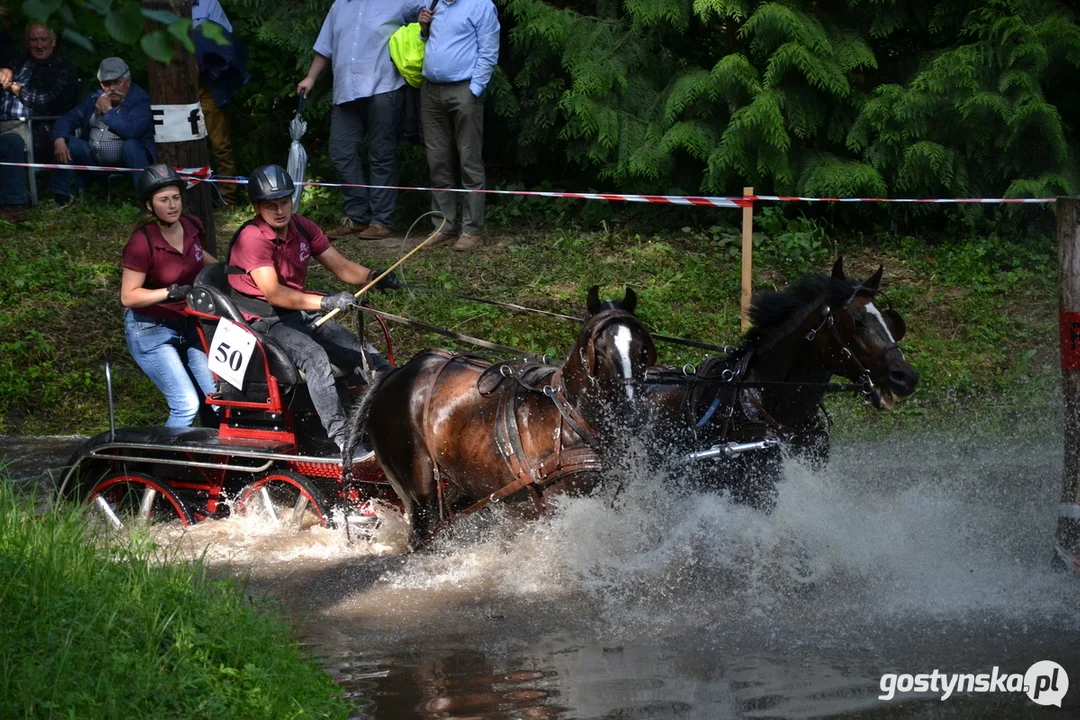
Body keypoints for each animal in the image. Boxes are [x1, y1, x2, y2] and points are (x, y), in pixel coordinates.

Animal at [345, 284, 652, 548]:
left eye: (643, 349)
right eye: (599, 350)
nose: (631, 409)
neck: (567, 418)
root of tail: (390, 377)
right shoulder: (560, 506)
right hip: (417, 493)